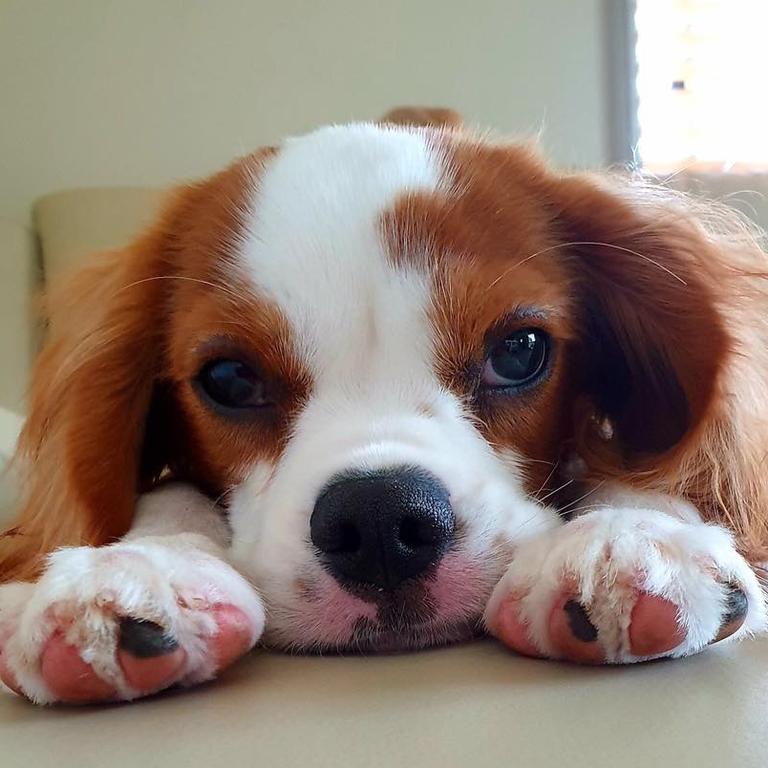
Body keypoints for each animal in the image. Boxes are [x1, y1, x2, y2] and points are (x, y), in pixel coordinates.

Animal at [1, 106, 768, 704]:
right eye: (230, 378)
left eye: (519, 350)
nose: (378, 520)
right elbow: (164, 493)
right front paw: (140, 563)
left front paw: (631, 534)